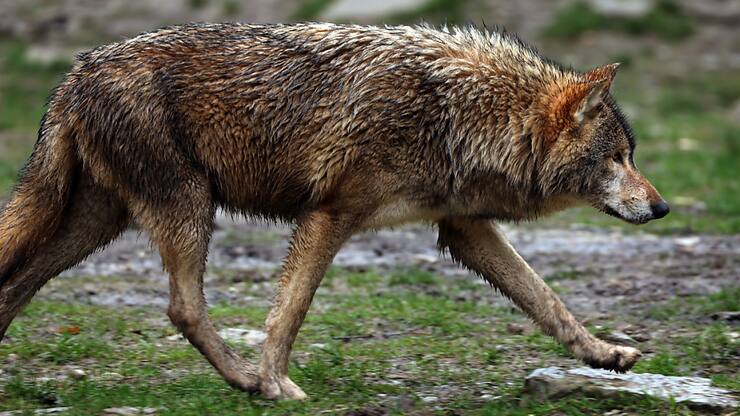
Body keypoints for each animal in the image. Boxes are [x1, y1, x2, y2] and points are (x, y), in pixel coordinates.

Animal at [0, 23, 669, 400]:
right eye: (617, 158)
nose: (662, 207)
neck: (461, 114)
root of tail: (76, 71)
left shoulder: (462, 228)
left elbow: (547, 300)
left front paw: (605, 355)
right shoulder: (330, 216)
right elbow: (289, 313)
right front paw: (274, 381)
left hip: (97, 224)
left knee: (18, 285)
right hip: (186, 211)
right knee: (182, 308)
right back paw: (248, 382)